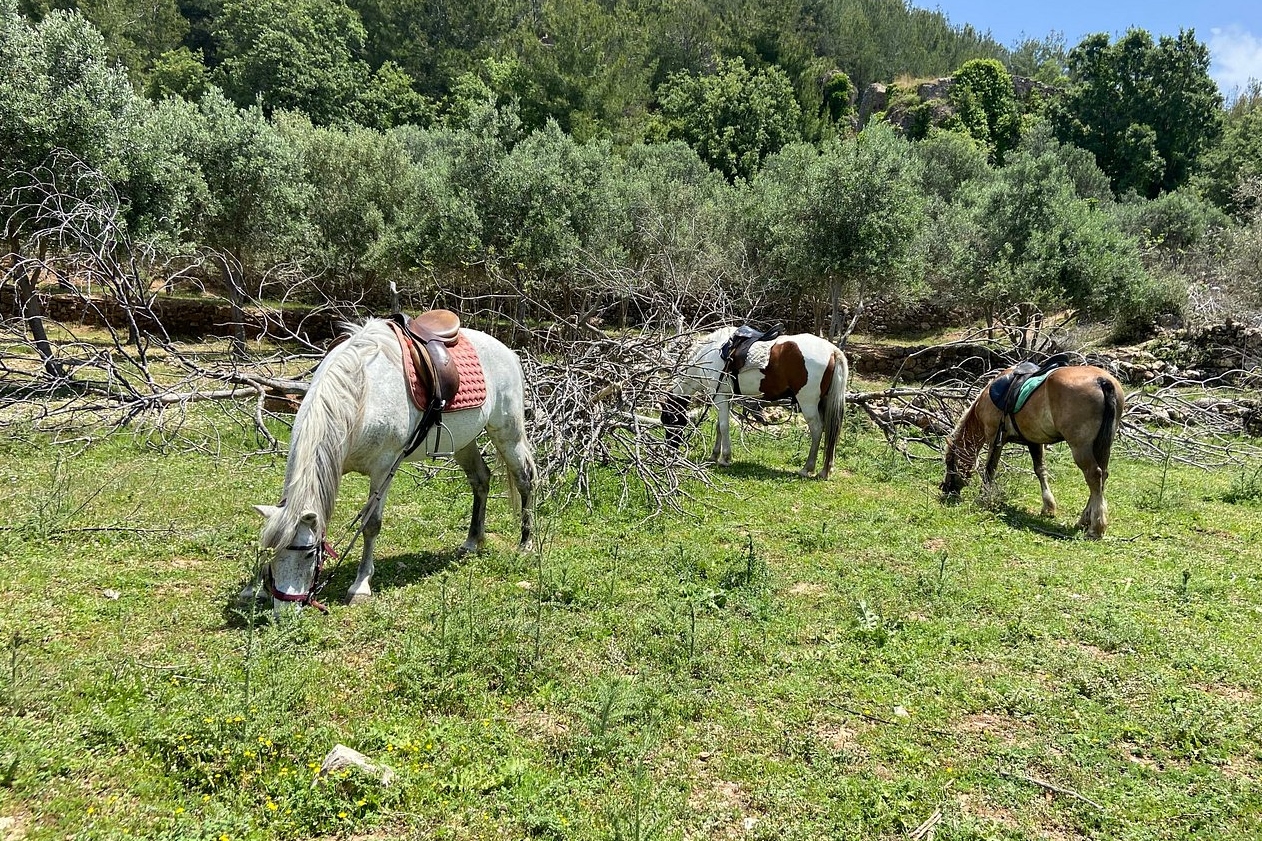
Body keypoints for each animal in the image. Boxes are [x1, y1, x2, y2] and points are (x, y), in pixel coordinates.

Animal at [251, 318, 532, 606]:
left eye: (309, 553)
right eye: (270, 552)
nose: (283, 609)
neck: (360, 396)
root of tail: (508, 353)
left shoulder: (383, 470)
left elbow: (371, 525)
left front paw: (361, 585)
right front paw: (255, 588)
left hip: (507, 433)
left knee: (524, 479)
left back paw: (525, 544)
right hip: (464, 443)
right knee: (481, 480)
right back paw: (472, 541)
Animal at [661, 322, 848, 474]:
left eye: (669, 420)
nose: (670, 450)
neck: (709, 354)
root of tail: (833, 351)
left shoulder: (719, 396)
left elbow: (724, 426)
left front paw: (725, 458)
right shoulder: (726, 398)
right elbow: (719, 426)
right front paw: (714, 455)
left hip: (808, 402)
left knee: (816, 429)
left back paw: (807, 468)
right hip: (822, 403)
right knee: (828, 431)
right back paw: (824, 471)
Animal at [943, 361, 1130, 537]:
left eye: (949, 461)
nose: (946, 488)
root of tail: (1101, 381)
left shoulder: (995, 438)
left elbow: (990, 469)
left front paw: (983, 497)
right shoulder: (1034, 441)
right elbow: (1040, 470)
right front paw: (1048, 507)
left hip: (1080, 446)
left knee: (1094, 475)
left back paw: (1095, 527)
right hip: (1102, 445)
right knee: (1103, 475)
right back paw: (1084, 520)